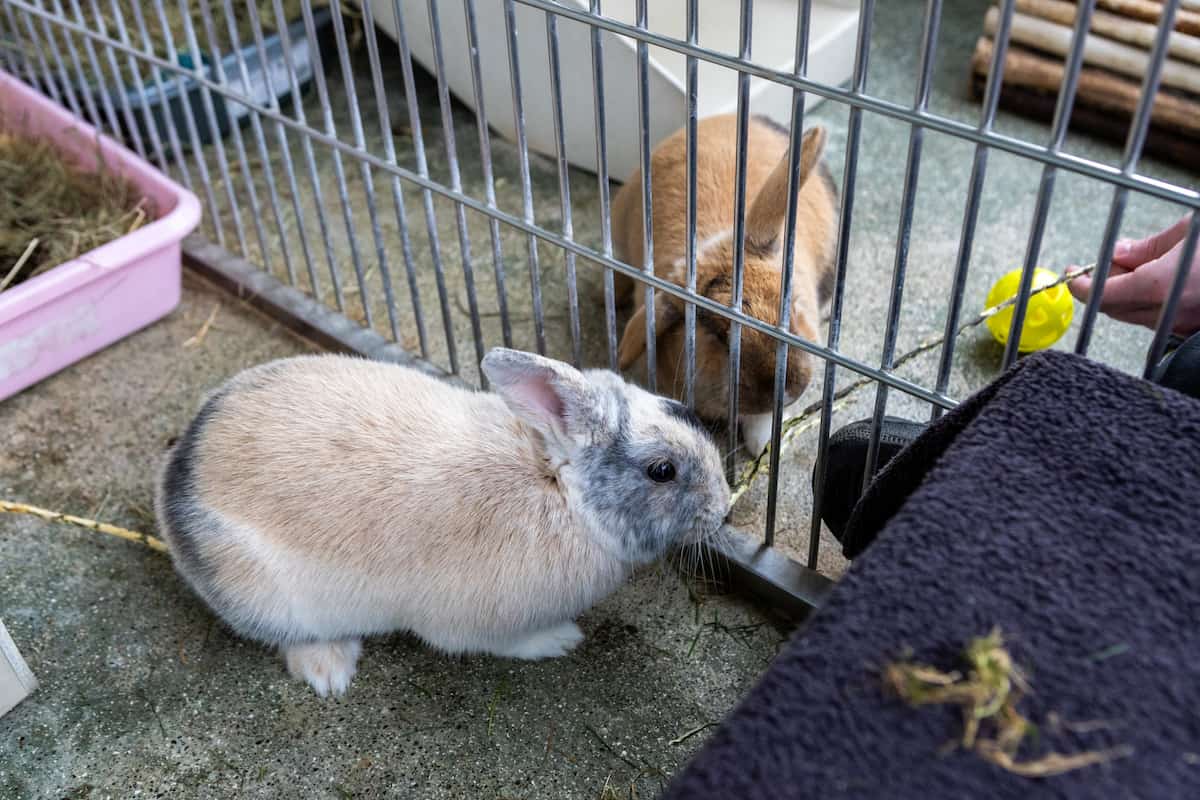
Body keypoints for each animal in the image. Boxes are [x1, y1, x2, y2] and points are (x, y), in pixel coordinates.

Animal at [154, 348, 730, 697]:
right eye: (661, 470)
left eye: (681, 407)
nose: (725, 507)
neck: (561, 492)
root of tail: (177, 473)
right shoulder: (476, 623)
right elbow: (504, 643)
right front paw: (561, 641)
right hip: (275, 599)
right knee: (292, 638)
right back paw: (331, 672)